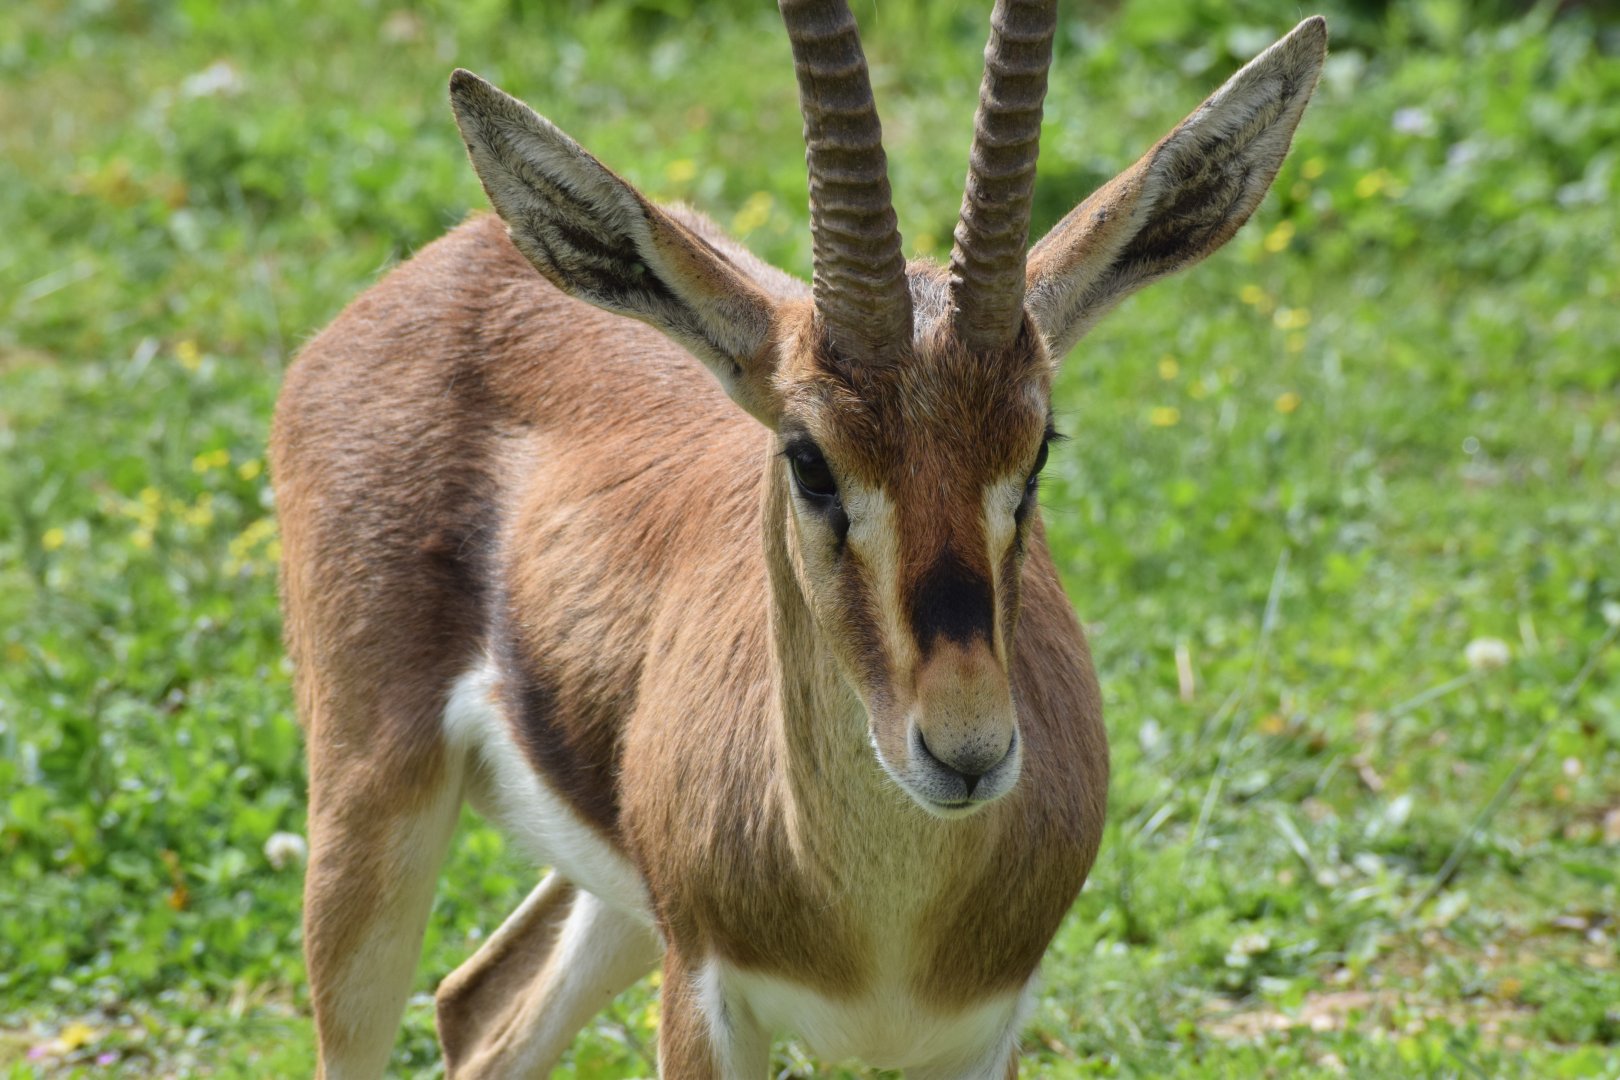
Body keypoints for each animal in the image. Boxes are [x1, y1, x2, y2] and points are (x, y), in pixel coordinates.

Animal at [271, 2, 1326, 1075]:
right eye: (810, 459)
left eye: (1036, 451)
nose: (967, 750)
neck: (883, 932)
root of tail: (451, 263)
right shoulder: (703, 1001)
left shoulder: (984, 1033)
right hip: (371, 812)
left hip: (616, 901)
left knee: (479, 1004)